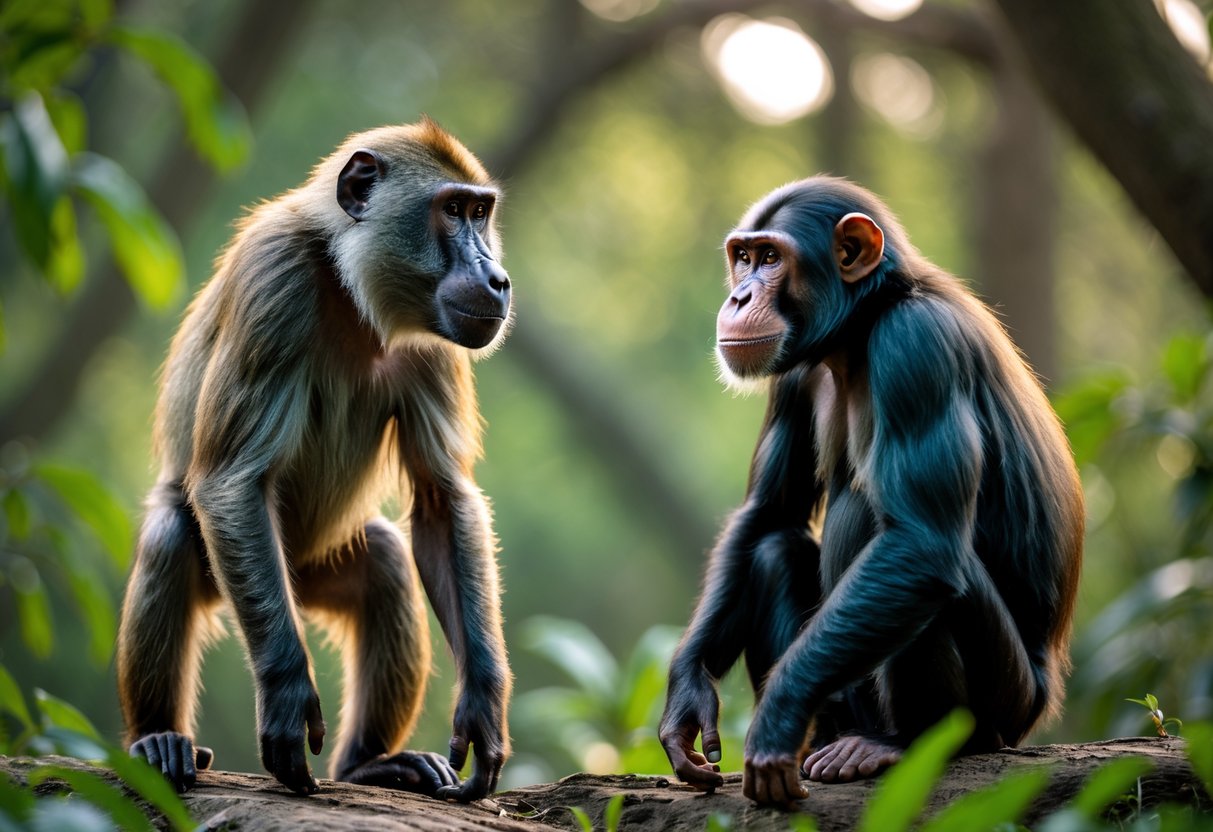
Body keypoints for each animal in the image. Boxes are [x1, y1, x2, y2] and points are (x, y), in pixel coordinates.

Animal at [117, 118, 512, 802]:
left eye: (481, 213)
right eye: (453, 211)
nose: (497, 278)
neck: (353, 292)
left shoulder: (435, 338)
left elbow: (440, 498)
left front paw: (483, 707)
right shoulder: (275, 276)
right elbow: (232, 481)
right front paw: (287, 697)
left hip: (317, 565)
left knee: (385, 562)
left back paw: (369, 764)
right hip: (247, 574)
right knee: (171, 533)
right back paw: (159, 740)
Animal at [659, 176, 1084, 807]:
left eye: (771, 258)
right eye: (743, 257)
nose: (739, 296)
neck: (857, 330)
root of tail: (1043, 697)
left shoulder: (916, 349)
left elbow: (919, 543)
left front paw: (777, 718)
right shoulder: (792, 375)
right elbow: (767, 513)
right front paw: (686, 694)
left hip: (1006, 705)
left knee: (890, 539)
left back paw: (899, 744)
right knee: (775, 549)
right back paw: (828, 740)